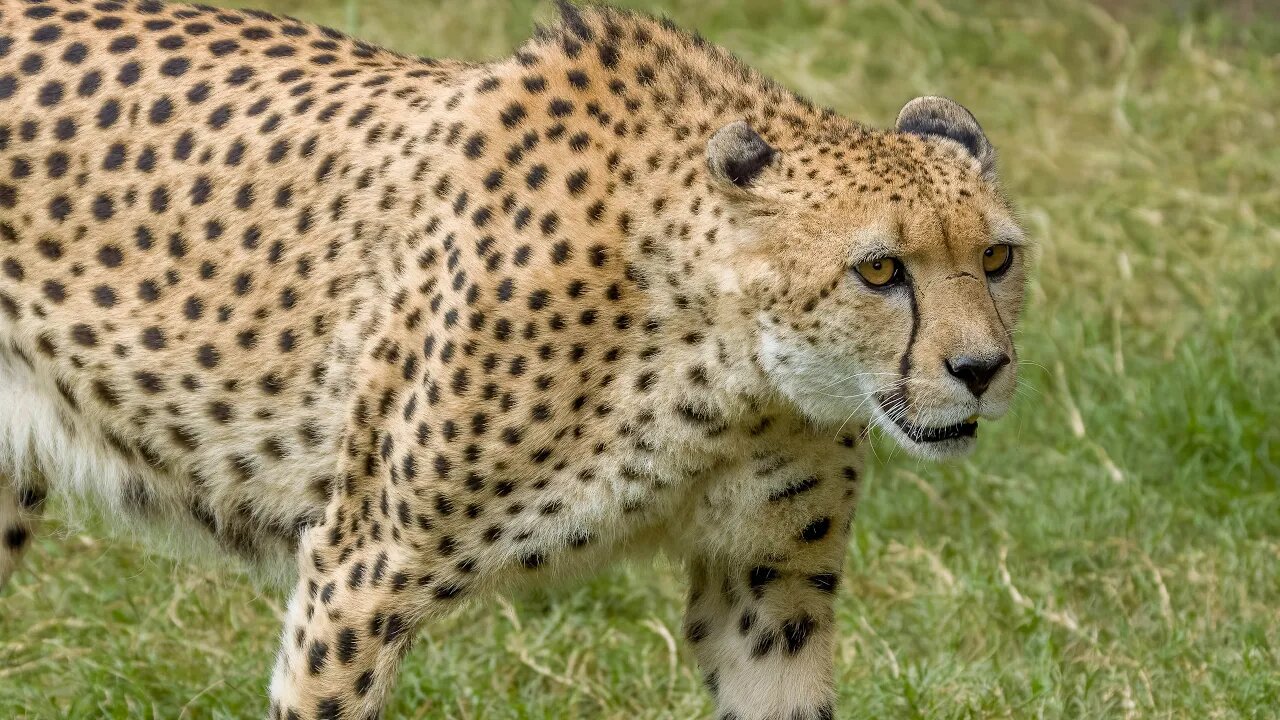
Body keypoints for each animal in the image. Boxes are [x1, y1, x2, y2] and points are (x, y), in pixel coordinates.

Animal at [0, 1, 1029, 712]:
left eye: (997, 258)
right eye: (880, 268)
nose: (983, 369)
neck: (725, 376)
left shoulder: (770, 591)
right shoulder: (359, 568)